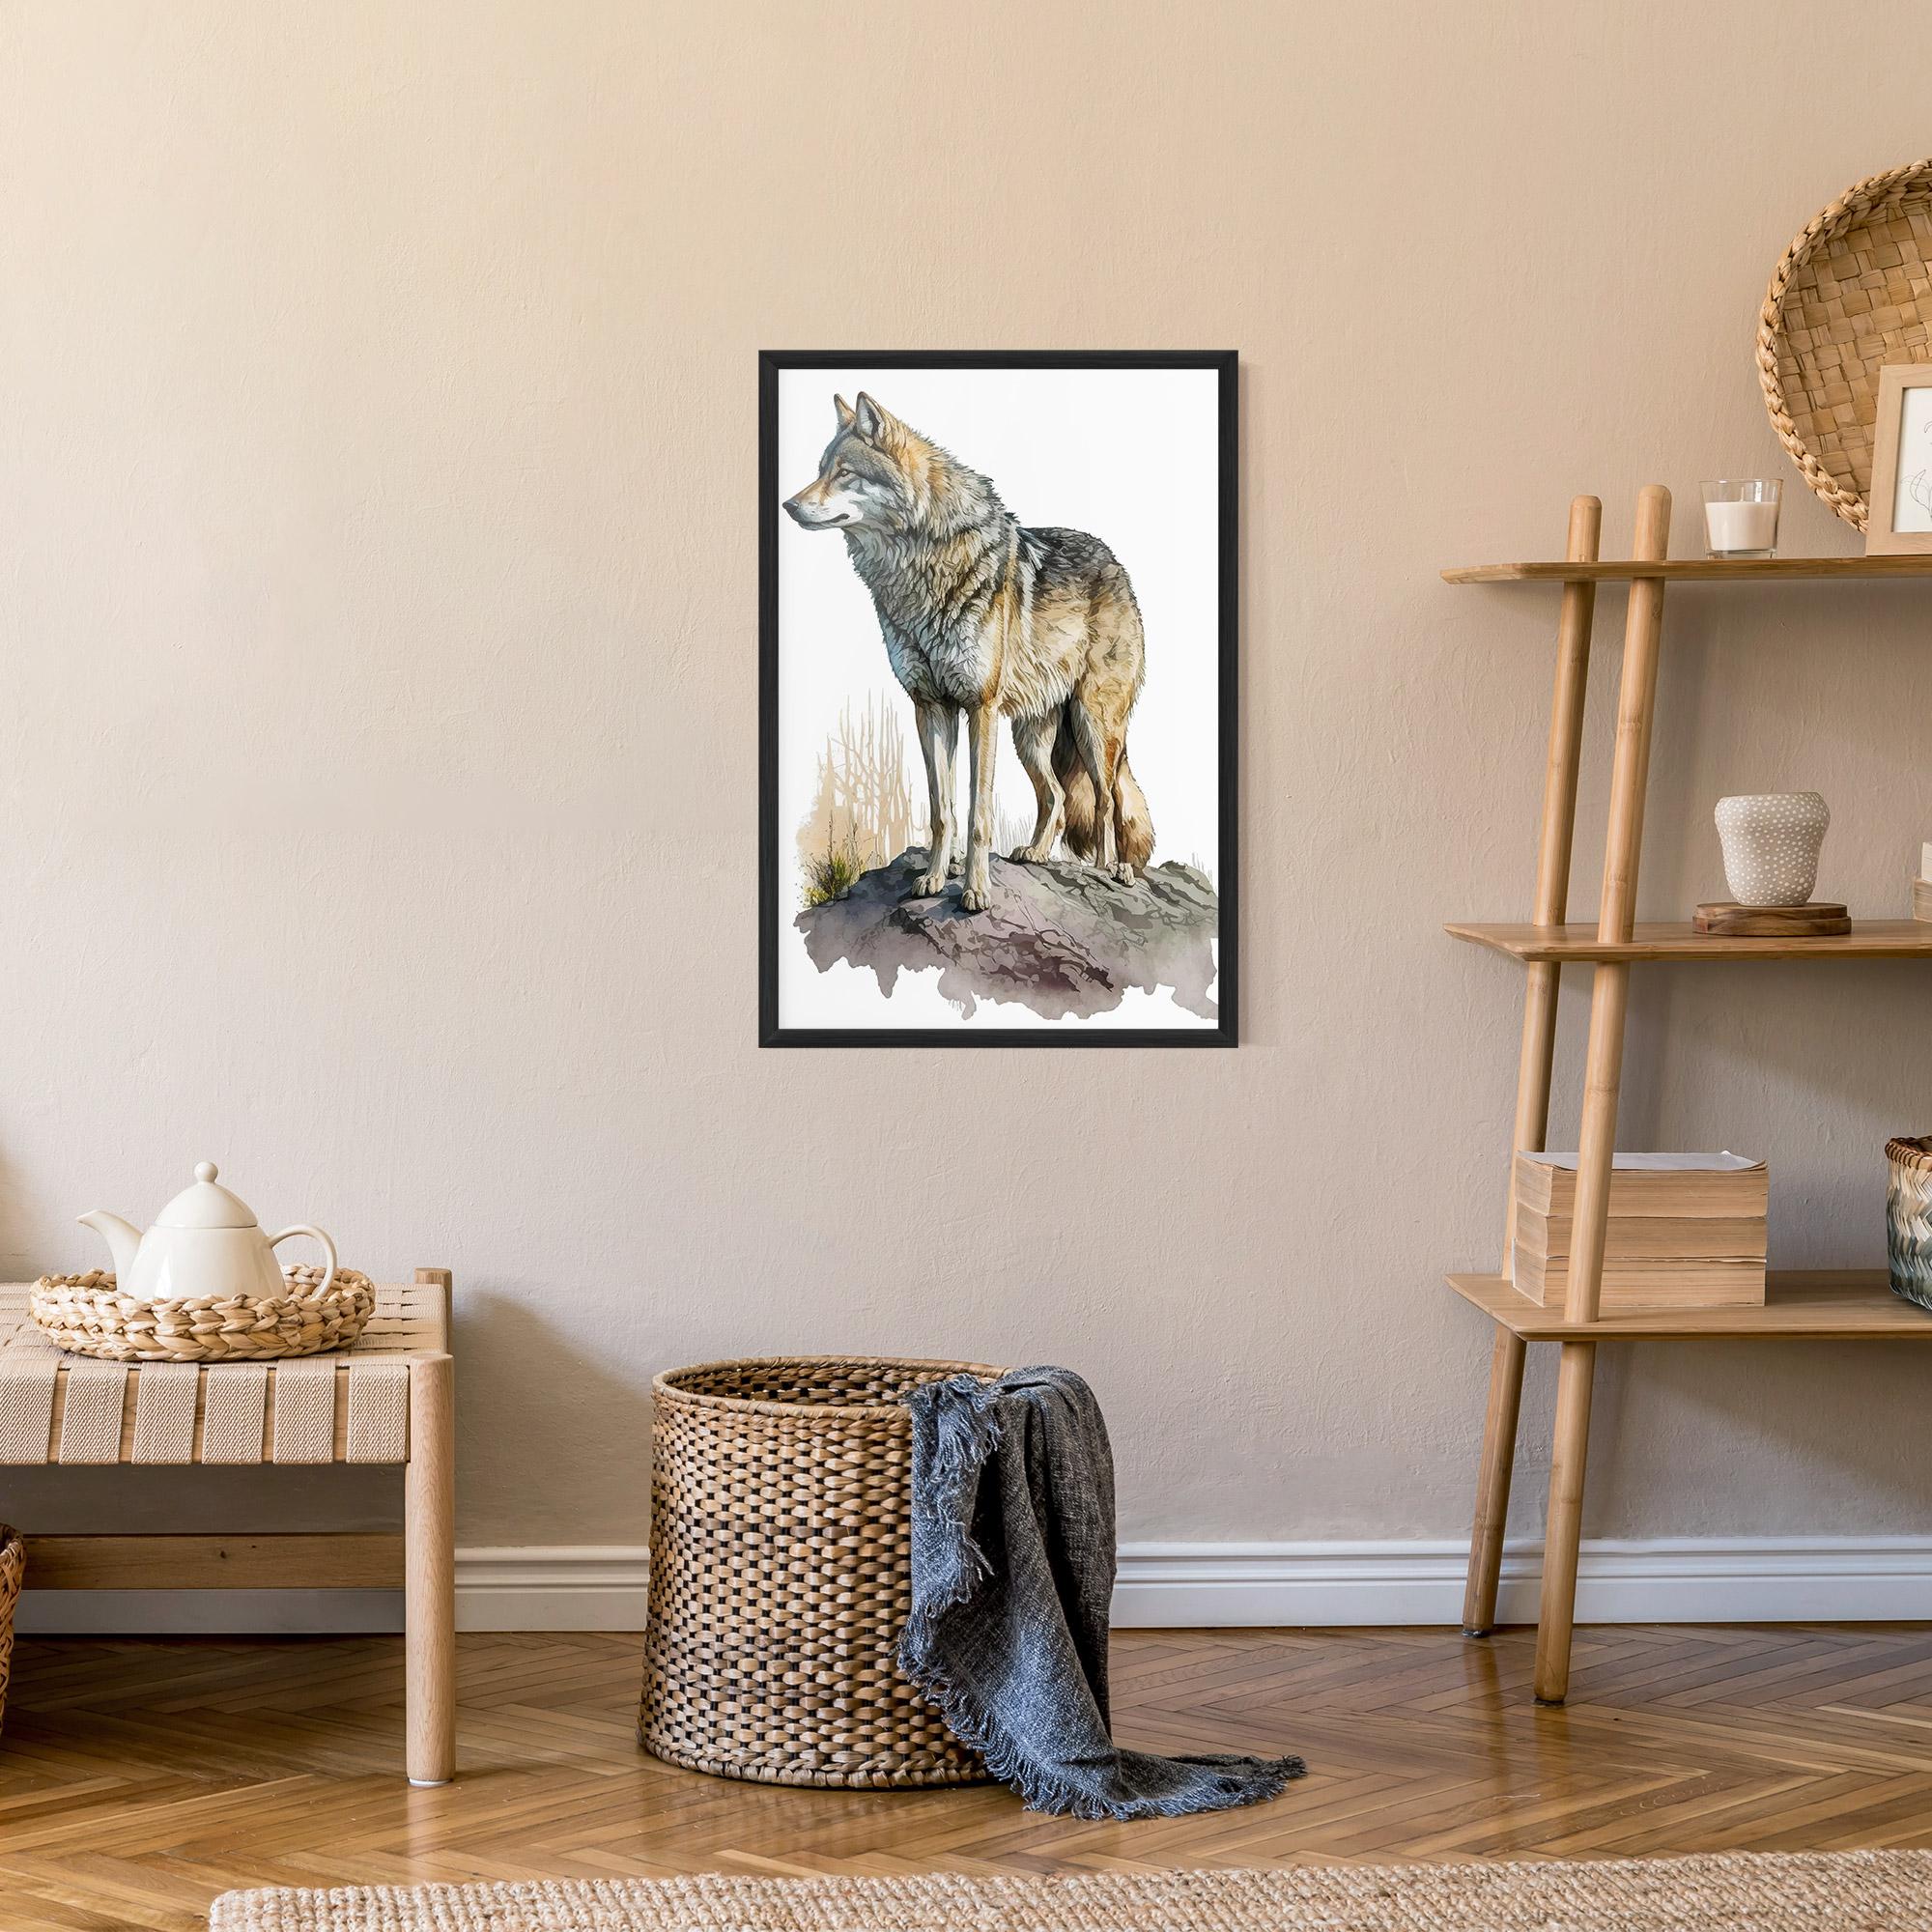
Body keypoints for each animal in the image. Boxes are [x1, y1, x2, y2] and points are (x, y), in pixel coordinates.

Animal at [783, 392, 1153, 913]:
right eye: (820, 470)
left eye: (844, 473)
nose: (789, 505)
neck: (919, 570)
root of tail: (1116, 562)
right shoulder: (930, 706)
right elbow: (944, 811)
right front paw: (936, 878)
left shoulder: (980, 707)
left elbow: (979, 814)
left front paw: (976, 891)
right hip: (1029, 736)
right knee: (1057, 798)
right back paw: (1036, 854)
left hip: (1093, 727)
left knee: (1108, 800)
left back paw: (1111, 870)